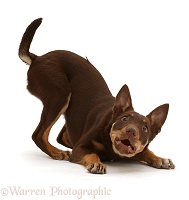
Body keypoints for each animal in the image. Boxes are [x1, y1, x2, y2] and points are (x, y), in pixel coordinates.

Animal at [18, 18, 175, 173]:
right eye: (124, 119)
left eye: (144, 129)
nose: (131, 131)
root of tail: (37, 58)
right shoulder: (80, 147)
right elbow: (92, 153)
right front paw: (96, 163)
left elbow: (145, 151)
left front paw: (160, 159)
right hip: (60, 95)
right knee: (39, 135)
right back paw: (56, 152)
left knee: (61, 135)